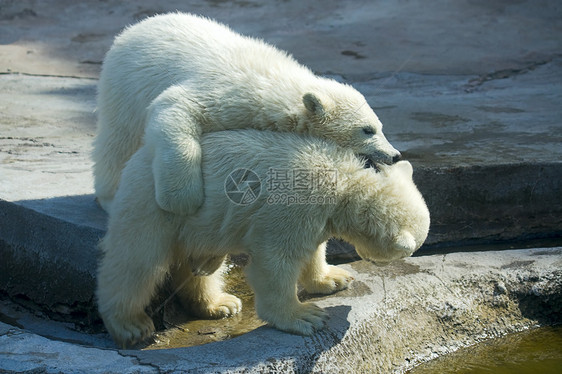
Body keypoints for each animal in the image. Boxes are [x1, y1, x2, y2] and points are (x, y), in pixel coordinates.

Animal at [92, 11, 400, 215]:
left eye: (381, 126)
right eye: (368, 129)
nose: (395, 155)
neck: (279, 85)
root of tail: (133, 28)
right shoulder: (231, 95)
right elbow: (175, 106)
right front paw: (182, 200)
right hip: (124, 89)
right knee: (118, 141)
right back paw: (110, 197)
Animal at [97, 129, 428, 348]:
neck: (345, 180)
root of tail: (142, 155)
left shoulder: (316, 215)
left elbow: (312, 249)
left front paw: (335, 278)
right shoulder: (294, 203)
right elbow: (276, 261)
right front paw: (304, 316)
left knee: (200, 265)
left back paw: (219, 304)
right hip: (156, 206)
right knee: (136, 262)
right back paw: (131, 324)